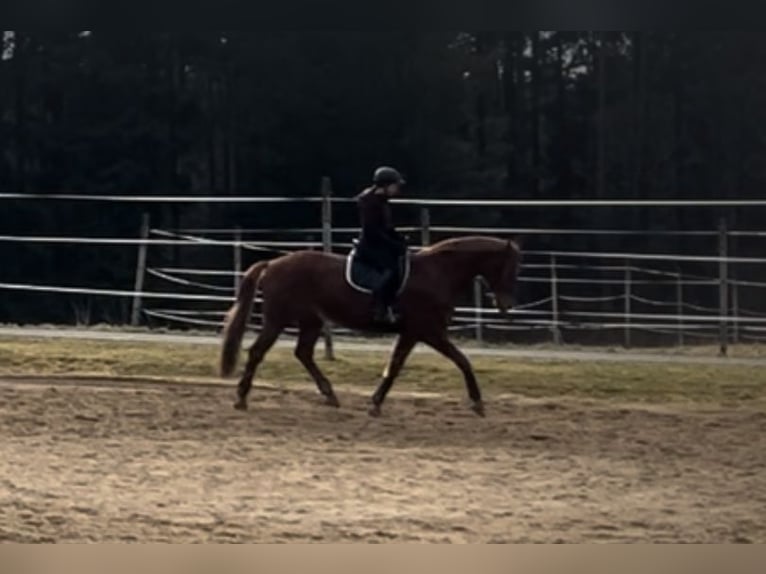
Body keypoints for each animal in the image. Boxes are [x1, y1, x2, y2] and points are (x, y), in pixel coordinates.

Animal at [220, 236, 520, 416]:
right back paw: (241, 398)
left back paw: (330, 395)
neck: (437, 273)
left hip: (311, 321)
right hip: (278, 319)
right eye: (509, 268)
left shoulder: (412, 333)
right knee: (258, 352)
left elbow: (395, 365)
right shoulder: (428, 331)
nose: (507, 305)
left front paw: (375, 403)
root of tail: (272, 263)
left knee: (303, 353)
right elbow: (462, 361)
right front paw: (477, 402)